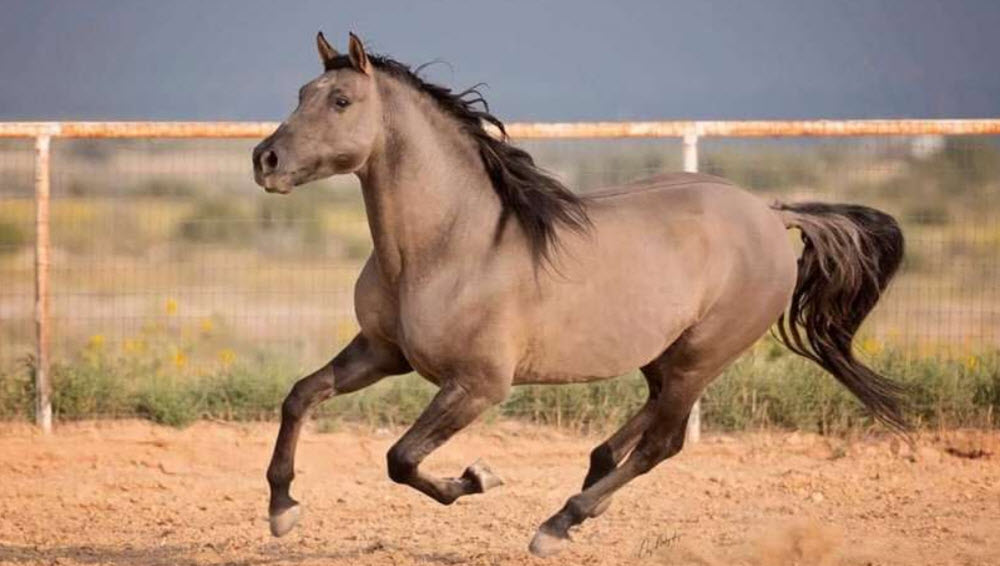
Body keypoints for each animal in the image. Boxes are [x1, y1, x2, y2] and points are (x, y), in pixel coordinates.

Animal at [252, 32, 908, 560]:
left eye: (340, 100)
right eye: (303, 92)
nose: (266, 159)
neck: (447, 246)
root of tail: (772, 216)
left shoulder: (479, 385)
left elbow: (401, 458)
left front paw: (478, 478)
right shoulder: (382, 352)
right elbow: (300, 396)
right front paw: (283, 510)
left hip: (702, 355)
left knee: (662, 442)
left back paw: (559, 524)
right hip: (663, 354)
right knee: (647, 420)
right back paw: (592, 483)